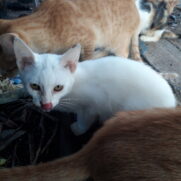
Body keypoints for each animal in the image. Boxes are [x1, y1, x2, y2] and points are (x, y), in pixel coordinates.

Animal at [0, 0, 140, 76]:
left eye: (11, 67)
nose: (5, 76)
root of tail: (138, 18)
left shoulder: (89, 39)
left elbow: (87, 58)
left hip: (116, 42)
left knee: (123, 53)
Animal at [13, 37, 176, 135]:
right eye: (34, 86)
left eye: (58, 87)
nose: (46, 105)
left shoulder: (95, 103)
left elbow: (86, 118)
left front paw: (78, 128)